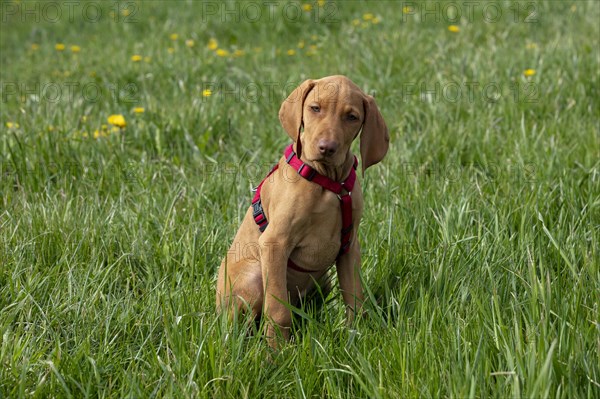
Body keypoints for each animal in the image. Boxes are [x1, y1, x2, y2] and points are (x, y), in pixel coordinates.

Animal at [216, 76, 390, 350]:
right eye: (315, 108)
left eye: (351, 117)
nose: (327, 148)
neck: (328, 182)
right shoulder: (274, 243)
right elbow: (277, 309)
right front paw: (276, 352)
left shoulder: (349, 246)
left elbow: (354, 298)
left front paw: (356, 337)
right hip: (253, 276)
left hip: (322, 279)